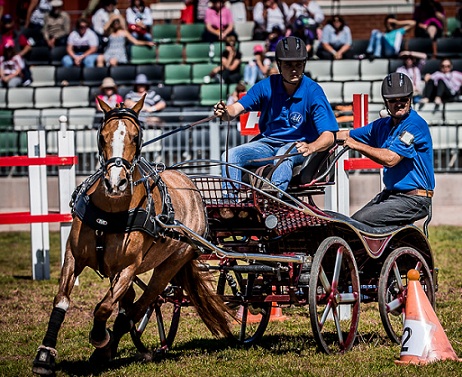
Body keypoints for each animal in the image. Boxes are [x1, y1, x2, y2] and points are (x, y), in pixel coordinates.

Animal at [32, 96, 231, 374]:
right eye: (102, 135)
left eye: (136, 137)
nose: (116, 183)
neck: (110, 212)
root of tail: (192, 187)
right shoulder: (73, 256)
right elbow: (61, 300)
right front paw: (44, 355)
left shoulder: (129, 267)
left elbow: (104, 307)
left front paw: (99, 337)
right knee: (131, 304)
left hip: (170, 264)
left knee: (139, 307)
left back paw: (107, 348)